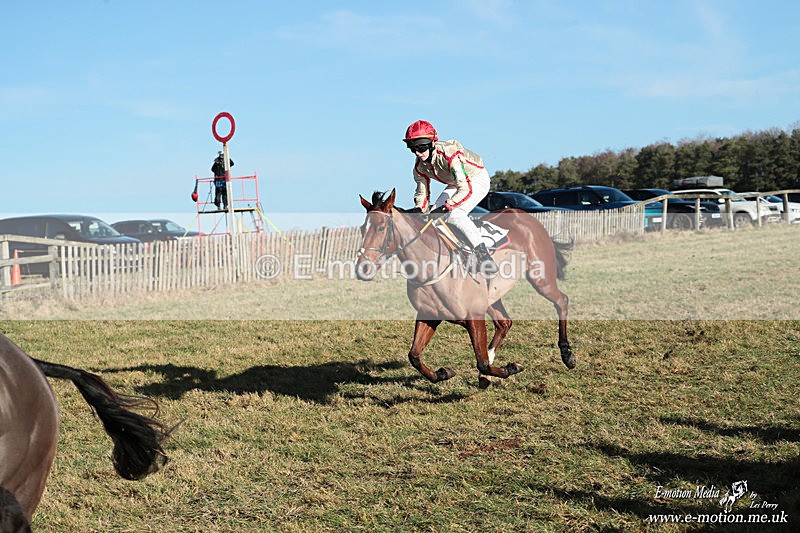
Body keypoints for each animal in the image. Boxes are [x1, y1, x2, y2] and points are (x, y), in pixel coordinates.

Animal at [356, 189, 575, 388]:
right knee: (504, 323)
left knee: (561, 301)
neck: (431, 266)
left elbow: (482, 362)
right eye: (362, 229)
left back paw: (567, 355)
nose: (362, 268)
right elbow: (414, 355)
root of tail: (526, 216)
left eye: (381, 228)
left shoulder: (474, 316)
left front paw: (511, 367)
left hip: (541, 279)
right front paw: (443, 373)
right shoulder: (429, 314)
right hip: (492, 297)